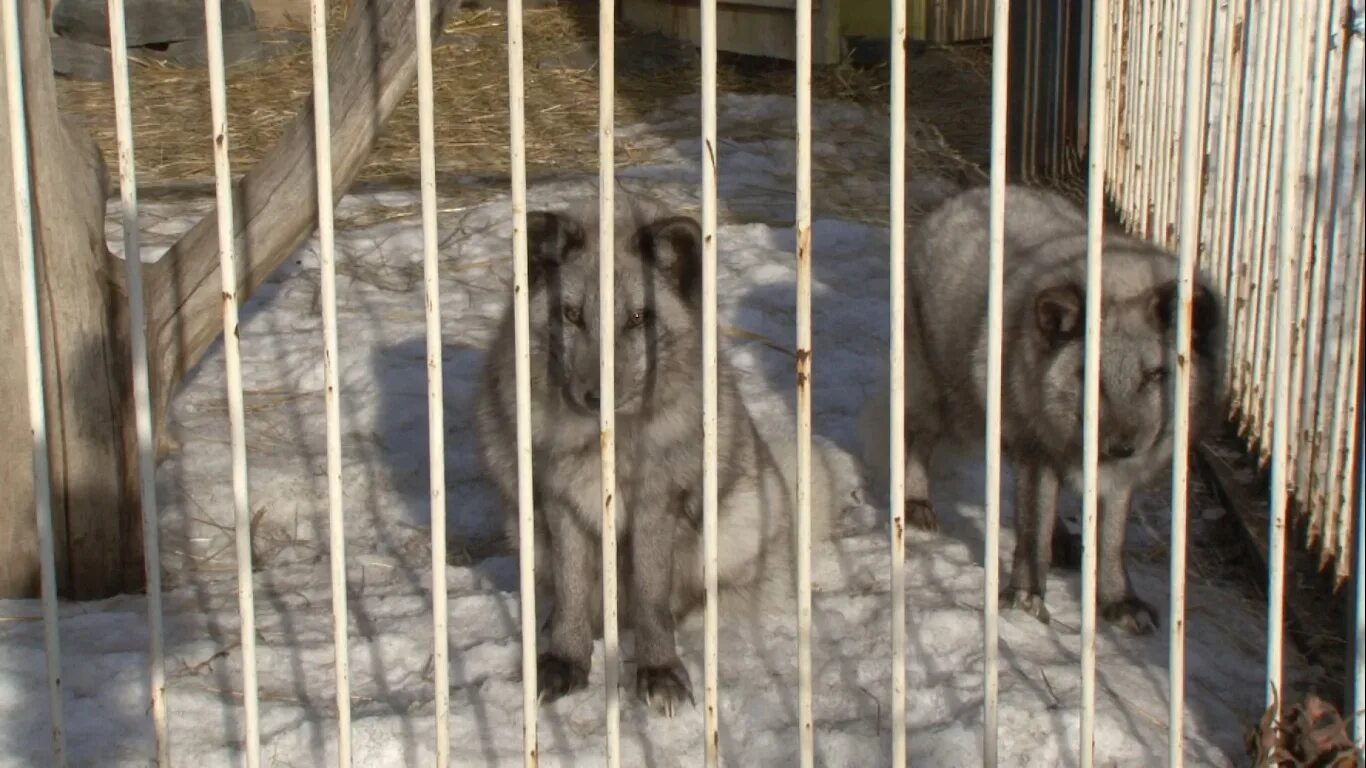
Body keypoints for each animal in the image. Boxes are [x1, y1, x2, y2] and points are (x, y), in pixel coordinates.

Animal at [857, 181, 1223, 631]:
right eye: (1089, 375)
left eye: (1155, 375)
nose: (1121, 447)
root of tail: (968, 195)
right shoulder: (1033, 447)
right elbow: (1030, 531)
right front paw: (1024, 596)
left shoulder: (1115, 472)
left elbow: (1111, 540)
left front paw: (1119, 600)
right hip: (948, 401)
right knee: (920, 439)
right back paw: (915, 503)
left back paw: (1062, 539)